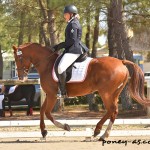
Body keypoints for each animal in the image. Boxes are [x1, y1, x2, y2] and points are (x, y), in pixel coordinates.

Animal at [12, 43, 150, 141]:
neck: (47, 64)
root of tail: (121, 62)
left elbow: (47, 113)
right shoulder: (50, 95)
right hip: (114, 93)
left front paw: (65, 127)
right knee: (114, 111)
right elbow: (41, 111)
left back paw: (98, 131)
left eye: (19, 59)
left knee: (111, 109)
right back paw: (103, 134)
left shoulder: (52, 95)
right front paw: (43, 131)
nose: (21, 77)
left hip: (105, 92)